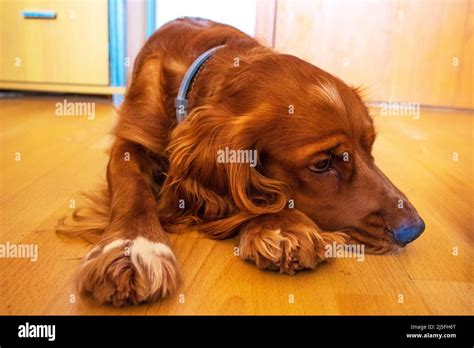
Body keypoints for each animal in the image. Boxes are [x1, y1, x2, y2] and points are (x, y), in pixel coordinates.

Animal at [56, 17, 426, 306]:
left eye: (370, 147)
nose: (414, 229)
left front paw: (284, 225)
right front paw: (133, 247)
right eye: (323, 164)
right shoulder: (128, 142)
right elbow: (132, 188)